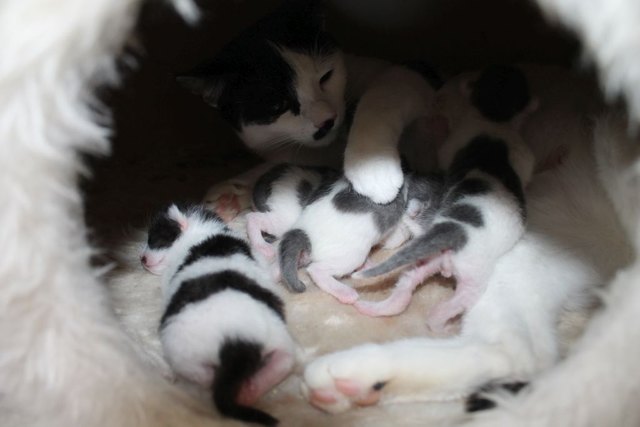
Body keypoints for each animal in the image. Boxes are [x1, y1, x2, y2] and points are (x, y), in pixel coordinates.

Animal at [141, 206, 296, 426]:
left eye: (155, 239)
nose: (142, 259)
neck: (204, 233)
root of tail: (237, 341)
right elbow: (272, 271)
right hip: (278, 337)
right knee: (284, 362)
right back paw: (250, 390)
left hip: (178, 347)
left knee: (203, 377)